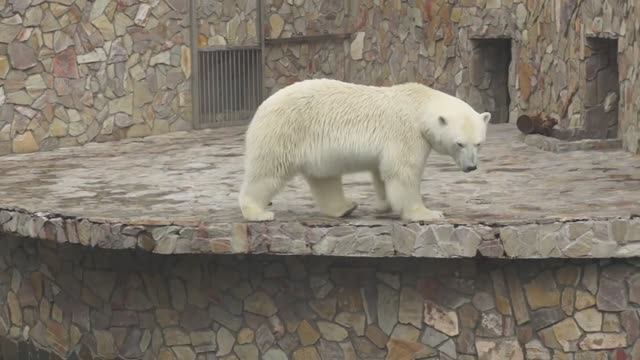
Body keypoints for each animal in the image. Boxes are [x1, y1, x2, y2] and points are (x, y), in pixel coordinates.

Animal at [238, 79, 492, 222]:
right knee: (268, 172)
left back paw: (345, 208)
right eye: (459, 143)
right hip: (284, 132)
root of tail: (262, 107)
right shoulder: (406, 133)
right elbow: (403, 172)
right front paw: (428, 214)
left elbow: (381, 173)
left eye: (479, 143)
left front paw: (383, 204)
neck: (419, 104)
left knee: (324, 179)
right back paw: (258, 212)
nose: (471, 167)